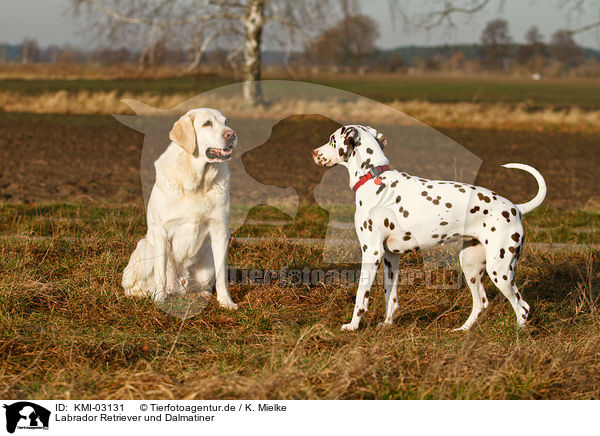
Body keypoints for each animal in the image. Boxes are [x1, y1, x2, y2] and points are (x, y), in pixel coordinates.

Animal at [314, 125, 548, 330]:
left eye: (332, 139)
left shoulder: (372, 252)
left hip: (500, 270)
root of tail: (516, 208)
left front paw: (353, 326)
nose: (314, 152)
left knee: (522, 307)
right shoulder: (390, 256)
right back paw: (462, 330)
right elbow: (391, 296)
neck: (374, 178)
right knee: (481, 303)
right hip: (471, 265)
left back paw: (518, 333)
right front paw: (387, 324)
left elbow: (361, 296)